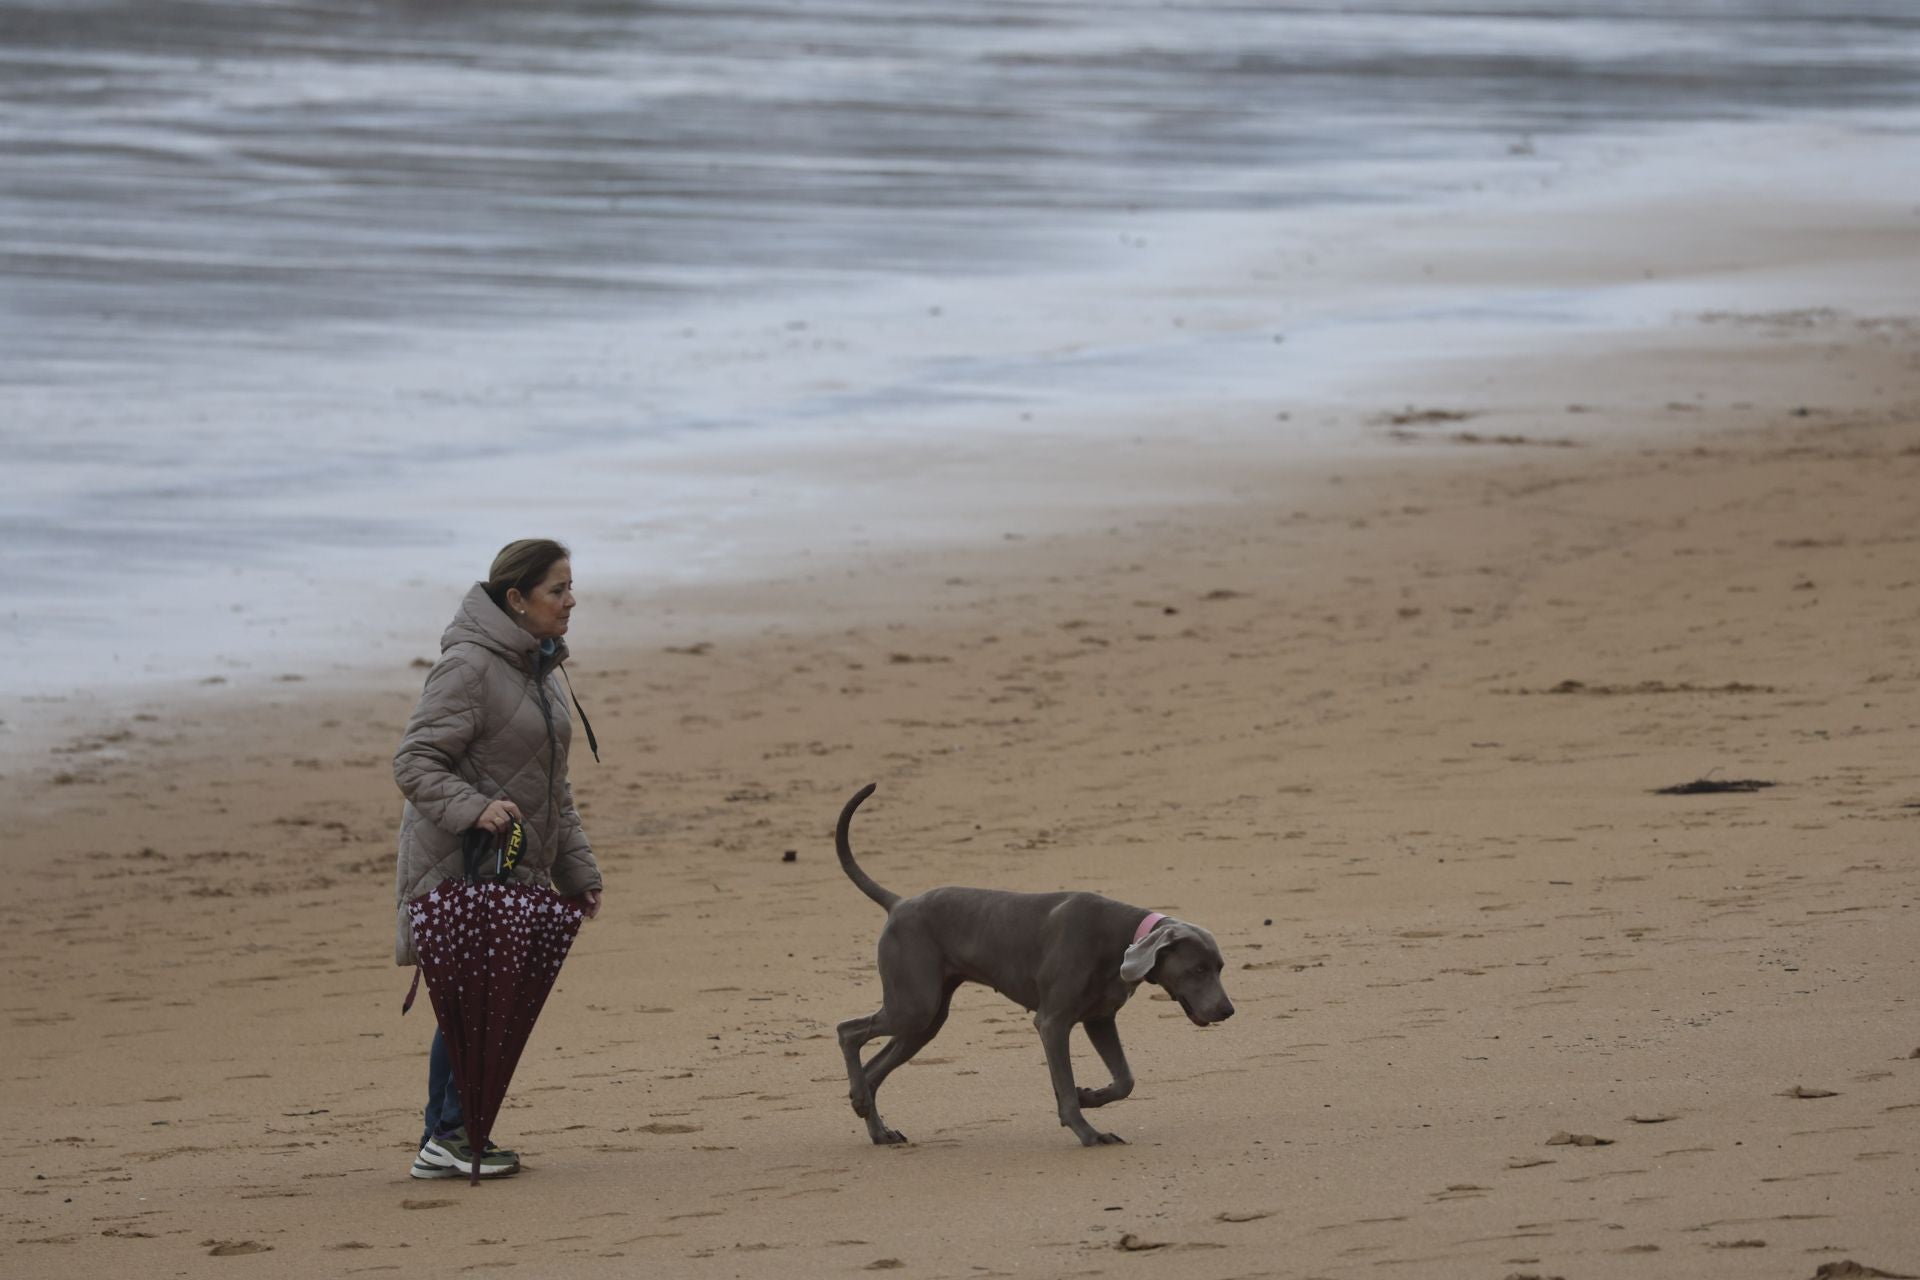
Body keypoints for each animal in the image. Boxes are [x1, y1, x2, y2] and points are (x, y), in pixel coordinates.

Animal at [833, 786, 1236, 1143]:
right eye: (1198, 969)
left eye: (1219, 967)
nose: (1227, 1011)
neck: (1120, 936)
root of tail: (899, 904)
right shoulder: (1053, 1022)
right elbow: (1067, 1087)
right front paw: (1089, 1132)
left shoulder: (1100, 1019)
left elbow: (1125, 1080)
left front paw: (1090, 1095)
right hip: (914, 1004)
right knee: (847, 1031)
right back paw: (861, 1100)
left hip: (926, 1019)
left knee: (873, 1068)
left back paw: (876, 1126)